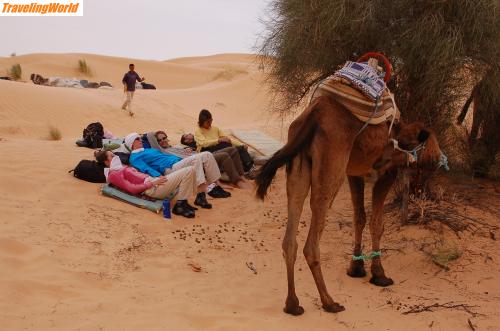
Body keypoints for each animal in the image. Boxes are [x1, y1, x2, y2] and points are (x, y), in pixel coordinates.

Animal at [256, 94, 444, 316]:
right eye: (401, 142)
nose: (379, 160)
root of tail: (313, 116)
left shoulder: (354, 173)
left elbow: (359, 218)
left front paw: (356, 267)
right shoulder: (386, 175)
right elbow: (376, 223)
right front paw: (379, 274)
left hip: (298, 169)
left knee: (290, 235)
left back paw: (292, 304)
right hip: (332, 168)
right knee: (311, 242)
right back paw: (329, 302)